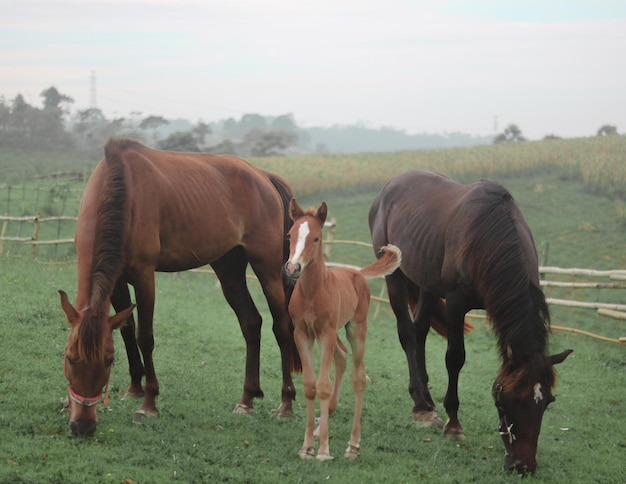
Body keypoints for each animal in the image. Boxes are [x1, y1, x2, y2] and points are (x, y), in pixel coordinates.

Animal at [59, 138, 300, 436]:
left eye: (107, 361)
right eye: (70, 357)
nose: (83, 425)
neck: (123, 189)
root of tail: (263, 176)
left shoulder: (144, 276)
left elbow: (144, 336)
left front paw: (148, 403)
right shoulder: (116, 281)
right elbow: (126, 329)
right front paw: (134, 388)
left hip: (266, 268)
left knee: (282, 328)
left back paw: (286, 404)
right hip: (229, 270)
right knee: (251, 323)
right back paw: (246, 400)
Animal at [284, 198, 400, 462]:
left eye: (316, 238)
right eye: (290, 234)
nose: (293, 268)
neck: (311, 292)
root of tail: (356, 272)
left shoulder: (325, 333)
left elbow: (323, 386)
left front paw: (324, 451)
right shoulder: (302, 334)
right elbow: (310, 385)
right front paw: (307, 447)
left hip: (355, 329)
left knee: (358, 377)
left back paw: (353, 445)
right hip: (333, 333)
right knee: (342, 356)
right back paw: (321, 429)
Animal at [368, 170, 572, 472]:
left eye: (547, 401)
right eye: (507, 400)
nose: (523, 465)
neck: (489, 237)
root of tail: (388, 188)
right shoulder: (455, 303)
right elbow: (455, 358)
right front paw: (453, 424)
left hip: (428, 284)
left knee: (419, 331)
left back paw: (427, 399)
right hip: (394, 275)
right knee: (406, 333)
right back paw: (420, 405)